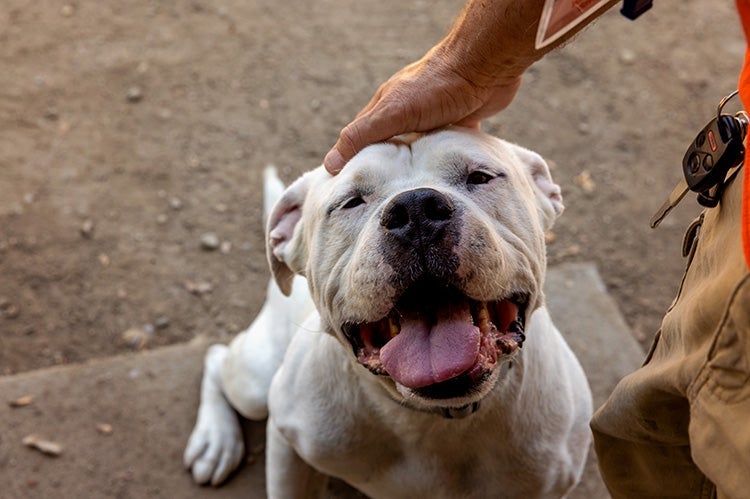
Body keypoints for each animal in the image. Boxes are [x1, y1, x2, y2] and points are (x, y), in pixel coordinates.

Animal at [187, 128, 592, 496]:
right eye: (350, 202)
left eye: (480, 177)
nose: (416, 208)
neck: (437, 417)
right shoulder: (288, 444)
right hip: (257, 383)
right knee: (217, 357)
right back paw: (214, 440)